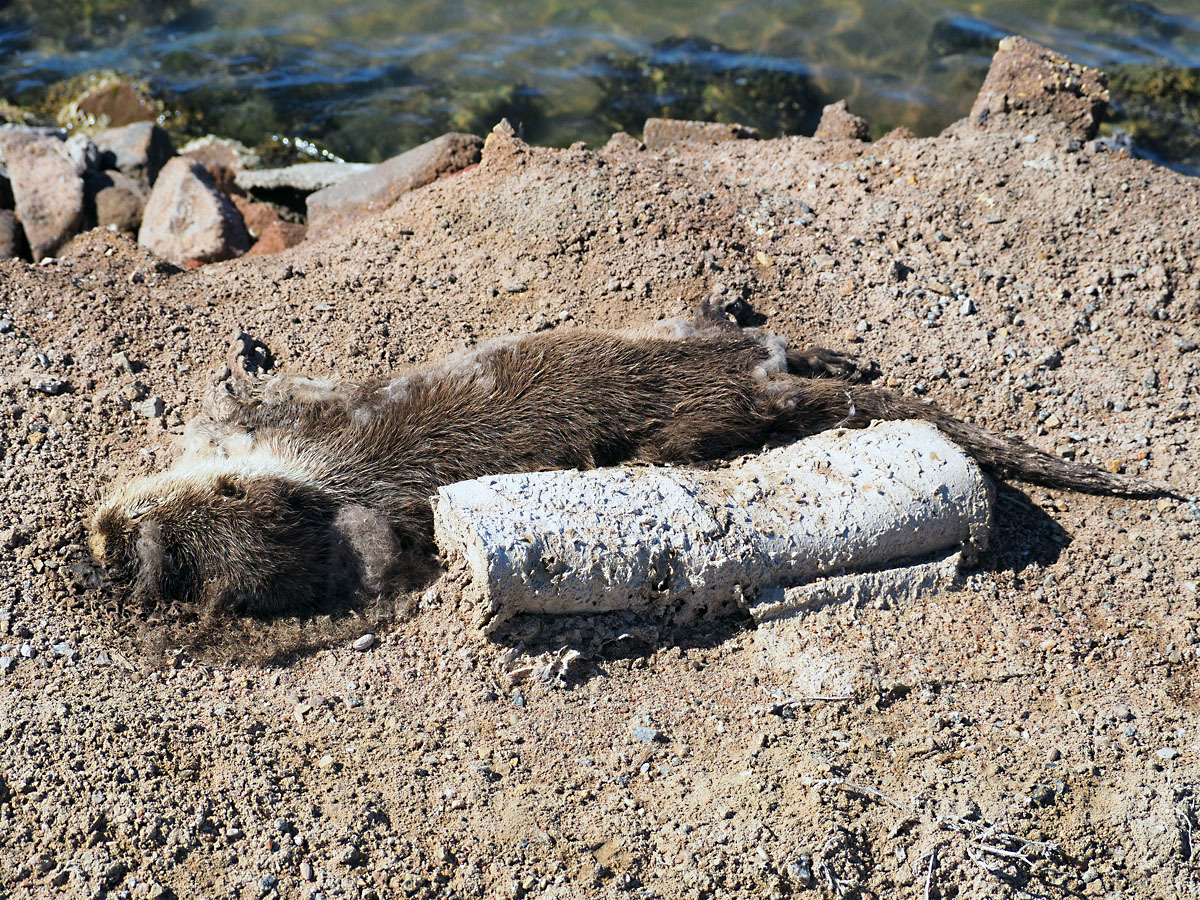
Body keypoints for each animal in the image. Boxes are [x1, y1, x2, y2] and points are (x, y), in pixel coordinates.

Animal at [87, 316, 1171, 619]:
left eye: (159, 546)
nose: (99, 537)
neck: (331, 473)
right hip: (712, 356)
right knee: (772, 341)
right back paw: (836, 355)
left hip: (702, 409)